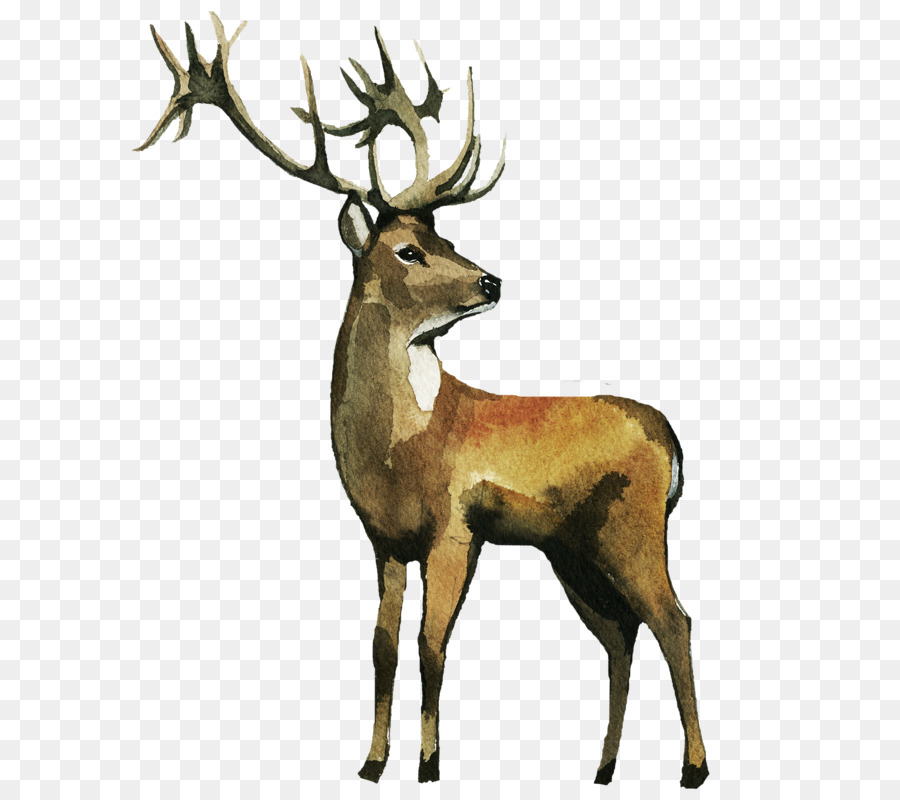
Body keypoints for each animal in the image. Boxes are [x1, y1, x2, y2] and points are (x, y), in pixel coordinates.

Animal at [136, 14, 709, 788]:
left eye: (448, 237)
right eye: (410, 249)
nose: (492, 281)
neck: (401, 447)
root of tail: (672, 442)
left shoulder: (455, 525)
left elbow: (431, 645)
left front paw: (430, 764)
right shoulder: (384, 538)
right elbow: (381, 645)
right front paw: (372, 762)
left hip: (633, 524)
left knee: (673, 619)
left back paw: (693, 768)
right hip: (572, 548)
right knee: (620, 634)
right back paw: (604, 767)